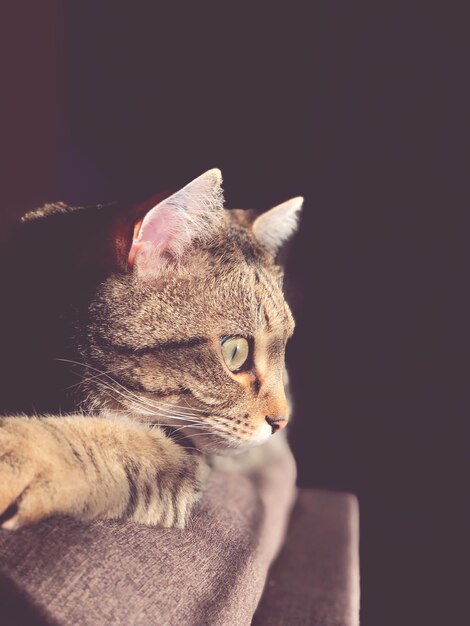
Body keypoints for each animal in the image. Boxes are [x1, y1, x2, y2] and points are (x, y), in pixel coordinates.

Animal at [0, 168, 302, 528]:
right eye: (235, 352)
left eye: (284, 350)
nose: (281, 422)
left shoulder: (182, 458)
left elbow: (117, 443)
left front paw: (26, 452)